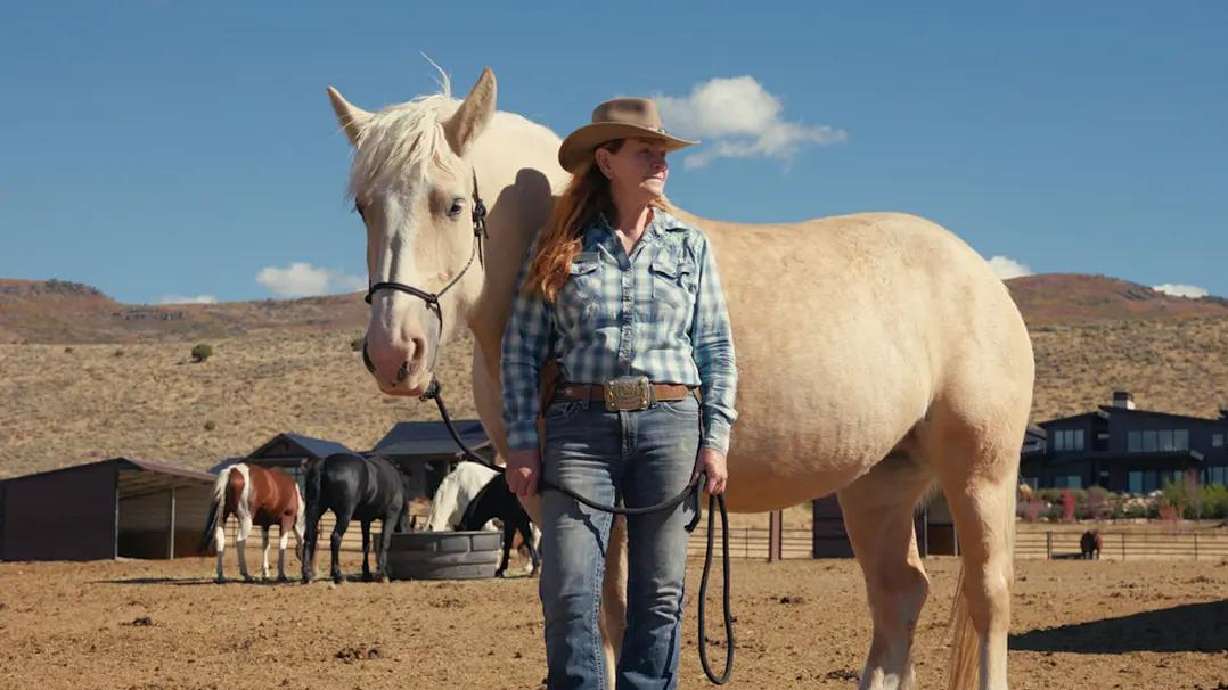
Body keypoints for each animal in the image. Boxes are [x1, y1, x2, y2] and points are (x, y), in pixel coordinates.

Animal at [302, 452, 410, 584]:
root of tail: (323, 463)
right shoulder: (390, 516)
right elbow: (384, 542)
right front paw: (382, 574)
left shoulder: (365, 520)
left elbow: (366, 545)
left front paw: (366, 574)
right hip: (344, 515)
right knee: (336, 538)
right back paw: (338, 575)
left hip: (314, 510)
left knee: (309, 537)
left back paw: (307, 575)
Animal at [328, 67, 1034, 690]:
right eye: (363, 209)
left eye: (451, 205)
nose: (393, 354)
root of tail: (981, 275)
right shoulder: (555, 490)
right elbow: (597, 610)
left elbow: (623, 611)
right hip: (877, 483)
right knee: (899, 595)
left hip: (981, 470)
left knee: (987, 596)